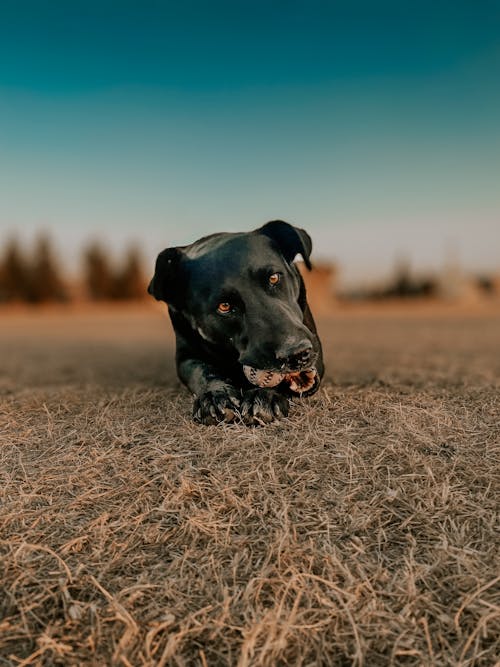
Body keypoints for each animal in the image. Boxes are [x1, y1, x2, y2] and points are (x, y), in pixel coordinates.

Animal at [147, 222, 324, 426]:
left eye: (274, 278)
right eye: (224, 306)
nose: (297, 354)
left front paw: (263, 395)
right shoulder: (185, 356)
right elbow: (201, 371)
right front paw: (214, 395)